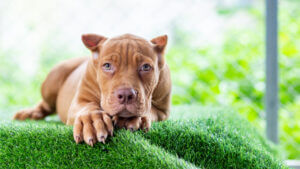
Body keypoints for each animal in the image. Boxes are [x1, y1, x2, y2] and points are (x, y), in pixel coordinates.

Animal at [14, 33, 172, 146]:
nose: (126, 95)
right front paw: (91, 121)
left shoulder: (162, 111)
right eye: (107, 66)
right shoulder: (80, 100)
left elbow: (151, 111)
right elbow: (87, 107)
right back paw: (31, 112)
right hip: (54, 77)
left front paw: (135, 118)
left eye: (145, 67)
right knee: (46, 104)